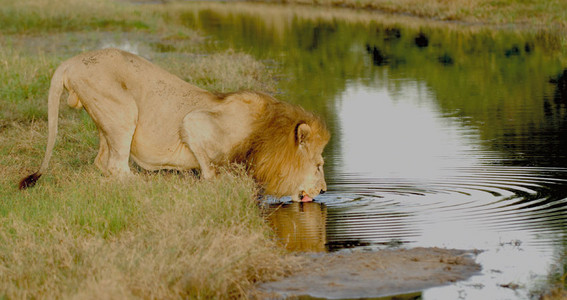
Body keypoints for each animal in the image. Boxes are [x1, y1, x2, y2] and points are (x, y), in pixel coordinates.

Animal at [20, 48, 330, 202]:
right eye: (318, 166)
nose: (326, 192)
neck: (266, 135)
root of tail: (70, 61)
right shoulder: (195, 122)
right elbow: (212, 170)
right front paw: (214, 184)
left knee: (102, 162)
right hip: (124, 111)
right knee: (117, 167)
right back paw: (149, 185)